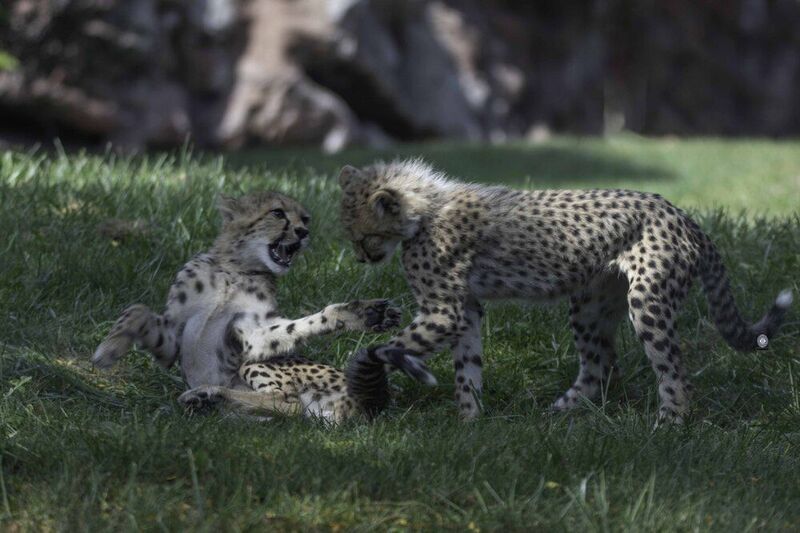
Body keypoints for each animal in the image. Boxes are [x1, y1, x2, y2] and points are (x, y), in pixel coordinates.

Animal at [92, 190, 433, 422]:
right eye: (278, 213)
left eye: (304, 219)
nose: (303, 232)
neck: (237, 270)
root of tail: (384, 395)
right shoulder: (172, 337)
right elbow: (136, 310)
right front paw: (109, 348)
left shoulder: (253, 337)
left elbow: (299, 326)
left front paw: (357, 313)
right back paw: (209, 401)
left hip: (257, 366)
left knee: (289, 403)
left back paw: (210, 396)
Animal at [337, 158, 793, 423]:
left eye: (363, 236)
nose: (360, 259)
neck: (425, 209)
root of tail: (684, 215)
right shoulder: (464, 309)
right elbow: (467, 368)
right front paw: (470, 424)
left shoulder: (443, 311)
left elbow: (383, 347)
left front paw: (364, 371)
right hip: (590, 305)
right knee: (599, 369)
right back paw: (558, 415)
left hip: (647, 302)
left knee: (674, 375)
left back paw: (667, 428)